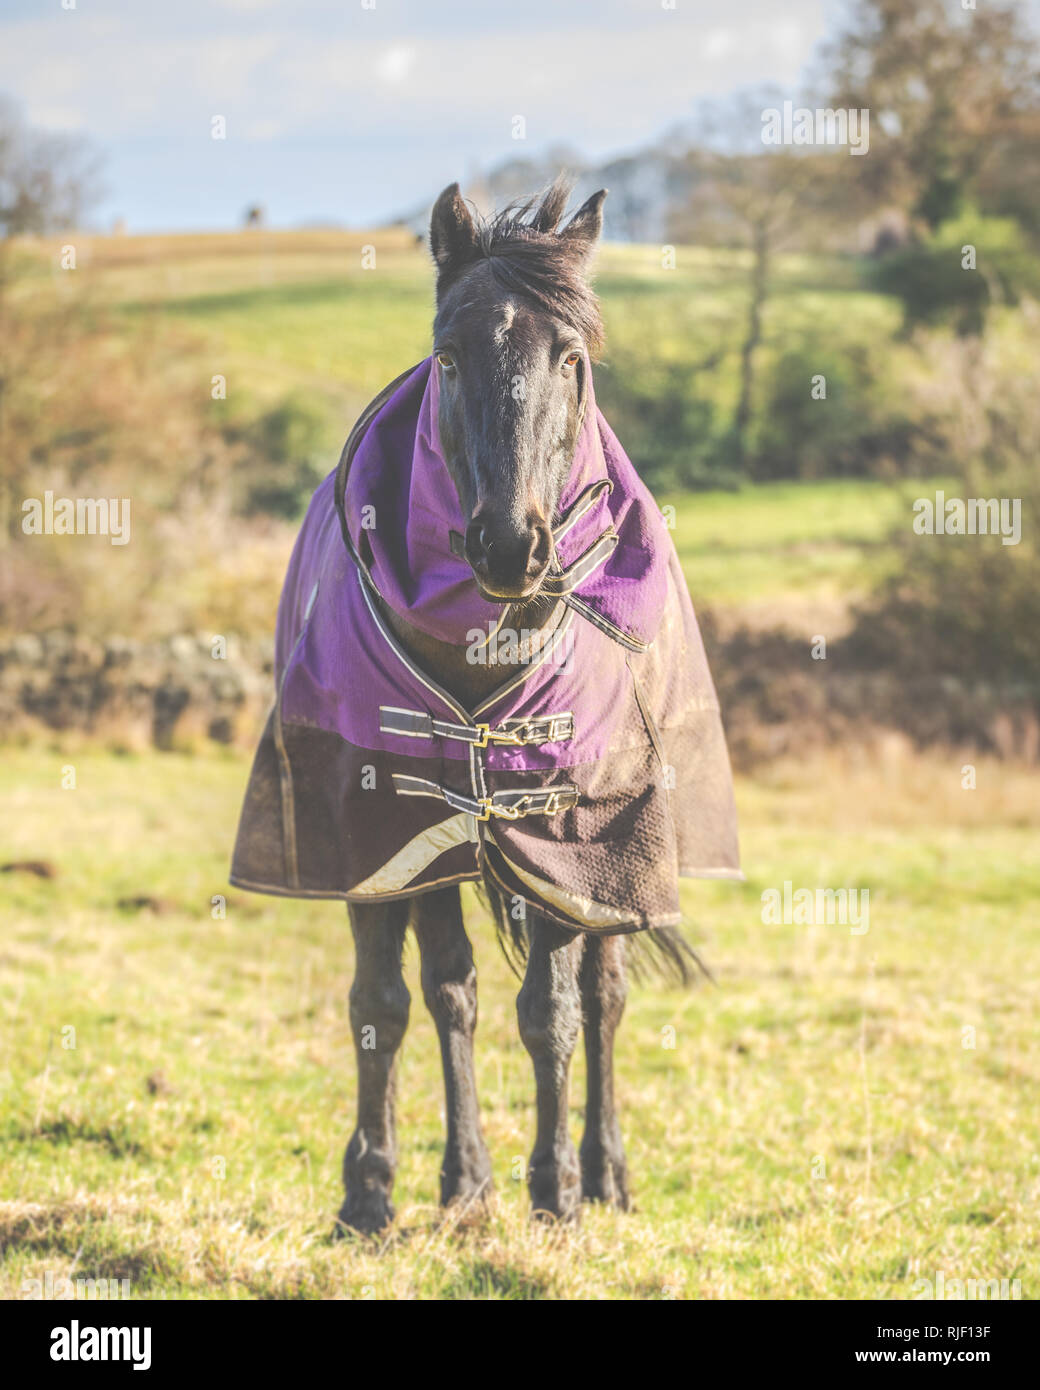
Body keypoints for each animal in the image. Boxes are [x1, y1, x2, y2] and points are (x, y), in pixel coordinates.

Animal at [231, 177, 741, 1232]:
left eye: (571, 357)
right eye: (450, 356)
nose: (512, 546)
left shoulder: (561, 839)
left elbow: (551, 1013)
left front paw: (556, 1193)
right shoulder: (381, 833)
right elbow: (390, 1002)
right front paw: (380, 1192)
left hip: (610, 859)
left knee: (604, 996)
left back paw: (605, 1172)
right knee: (455, 991)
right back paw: (469, 1180)